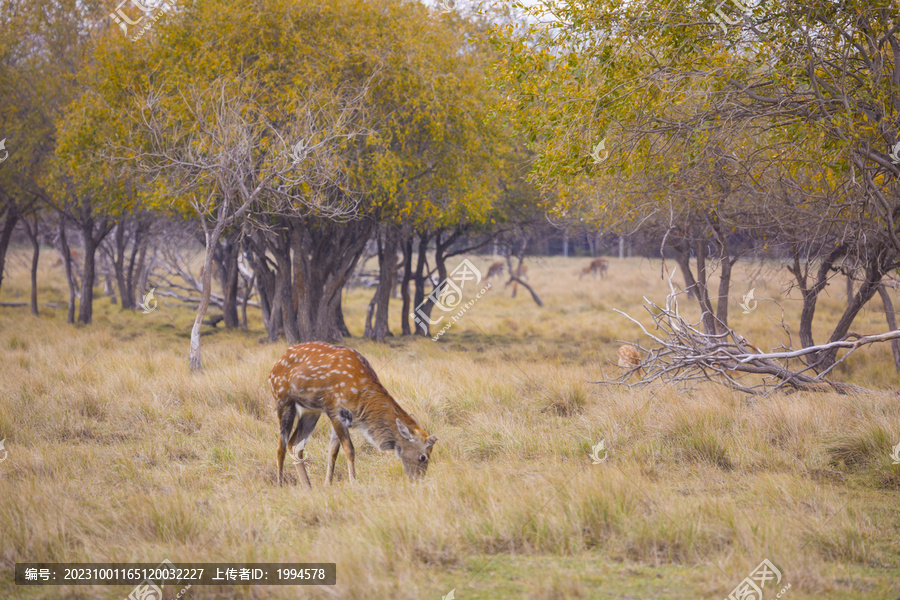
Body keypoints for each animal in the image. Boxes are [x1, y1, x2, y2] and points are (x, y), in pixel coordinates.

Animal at [268, 342, 436, 488]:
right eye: (423, 457)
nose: (418, 479)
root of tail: (274, 368)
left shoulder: (342, 417)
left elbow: (333, 451)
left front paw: (328, 484)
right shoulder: (334, 409)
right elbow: (349, 450)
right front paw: (353, 481)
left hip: (311, 411)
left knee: (295, 444)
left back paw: (307, 486)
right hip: (283, 401)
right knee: (281, 446)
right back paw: (280, 484)